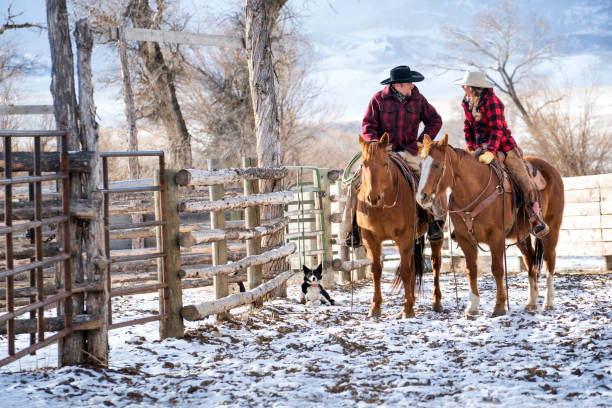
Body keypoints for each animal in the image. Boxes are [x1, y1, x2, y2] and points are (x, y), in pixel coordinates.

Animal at [354, 134, 444, 318]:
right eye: (363, 164)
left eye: (384, 163)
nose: (373, 197)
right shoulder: (370, 239)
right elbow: (376, 271)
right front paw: (375, 307)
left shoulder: (404, 237)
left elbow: (404, 271)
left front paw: (407, 309)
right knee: (413, 265)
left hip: (433, 237)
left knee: (435, 263)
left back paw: (436, 302)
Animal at [416, 134, 564, 316]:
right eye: (421, 164)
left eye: (437, 164)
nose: (422, 197)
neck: (473, 191)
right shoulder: (465, 239)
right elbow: (471, 270)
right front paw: (472, 306)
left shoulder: (496, 237)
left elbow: (497, 269)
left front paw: (499, 306)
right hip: (521, 236)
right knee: (530, 261)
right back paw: (531, 302)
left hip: (552, 228)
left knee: (550, 260)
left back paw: (548, 302)